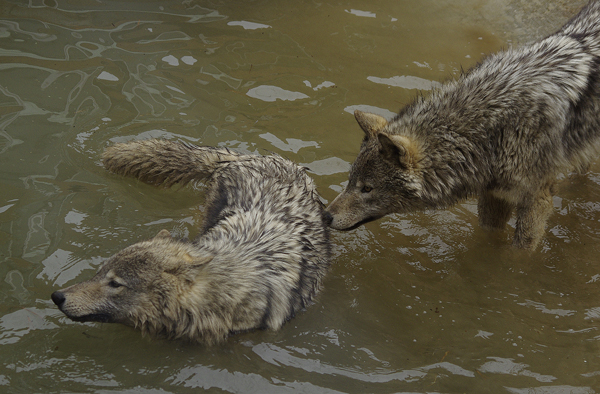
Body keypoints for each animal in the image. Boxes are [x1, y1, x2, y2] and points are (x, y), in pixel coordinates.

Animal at [326, 1, 600, 249]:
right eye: (350, 181)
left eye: (367, 188)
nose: (326, 216)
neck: (492, 129)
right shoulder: (493, 196)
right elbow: (486, 239)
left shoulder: (536, 201)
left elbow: (518, 255)